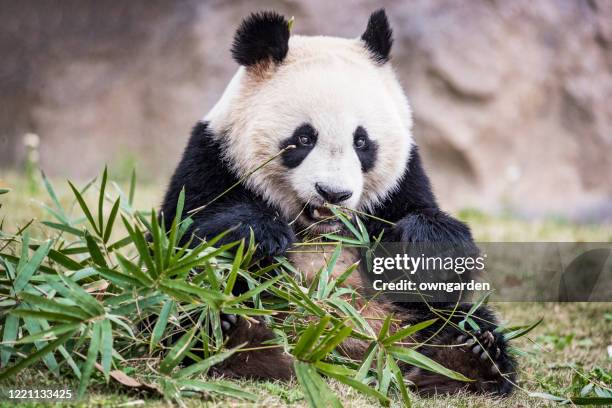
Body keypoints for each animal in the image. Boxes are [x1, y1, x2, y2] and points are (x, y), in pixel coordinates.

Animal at [161, 9, 516, 396]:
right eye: (304, 138)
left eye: (361, 141)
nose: (332, 193)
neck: (319, 229)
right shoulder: (213, 159)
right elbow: (182, 238)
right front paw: (261, 234)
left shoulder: (403, 182)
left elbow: (442, 269)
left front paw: (422, 241)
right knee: (188, 305)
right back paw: (235, 338)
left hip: (415, 323)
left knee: (462, 321)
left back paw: (467, 359)